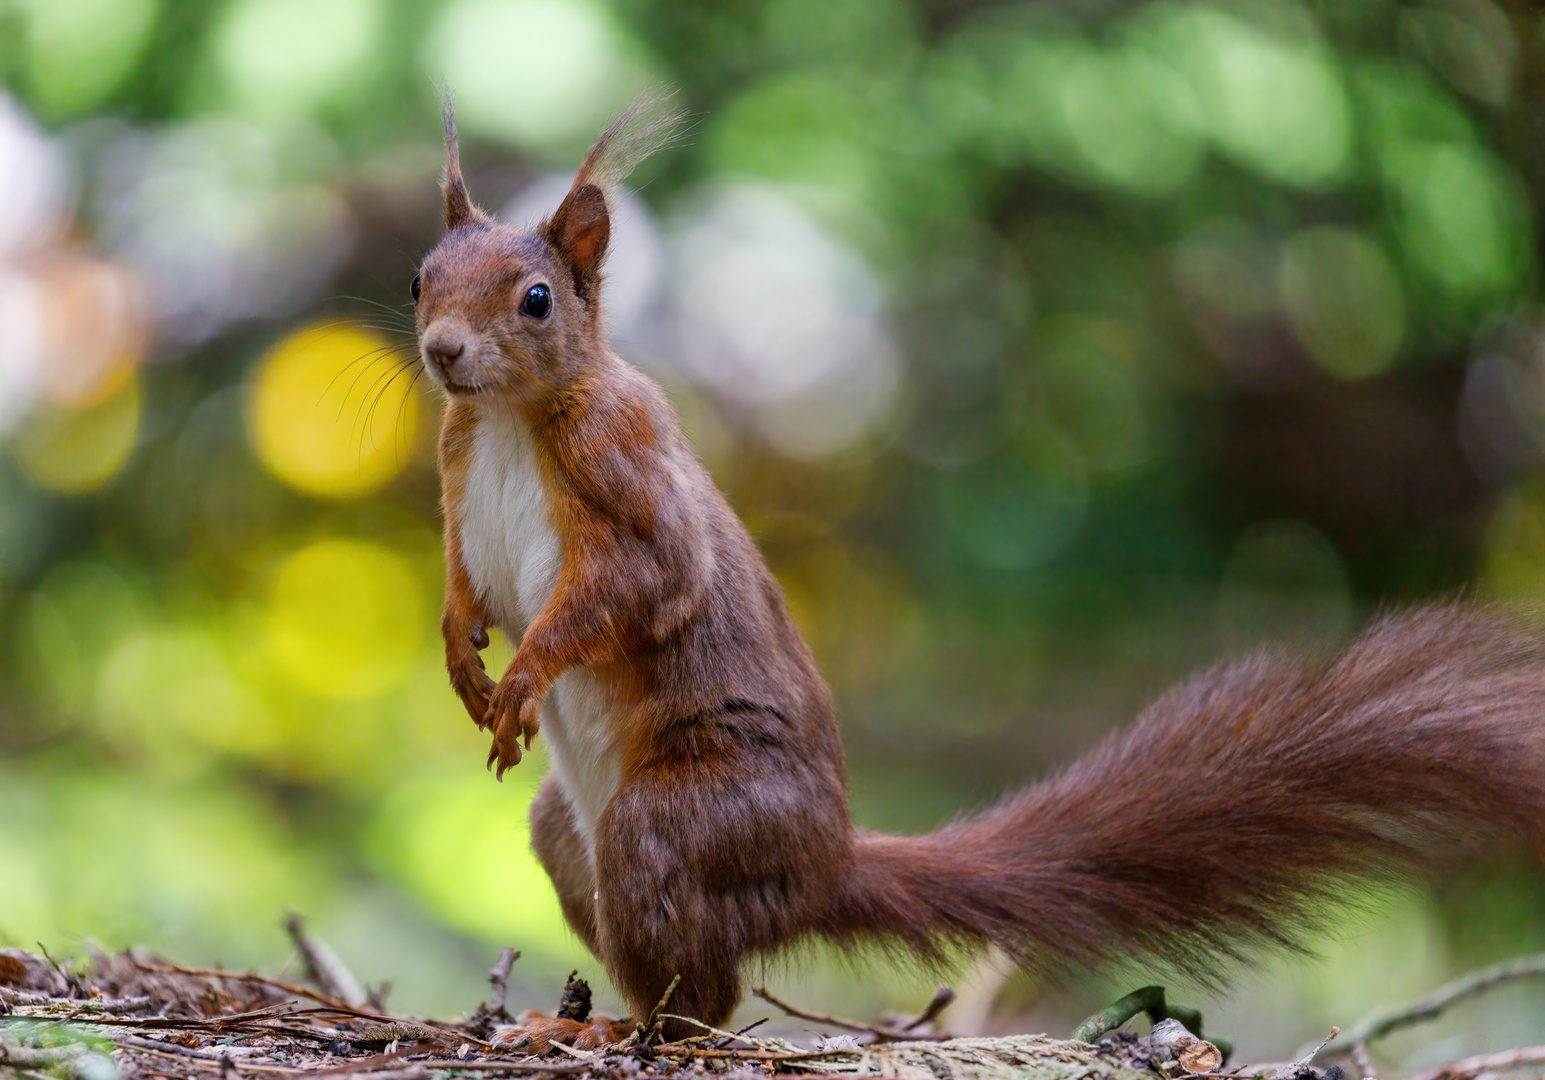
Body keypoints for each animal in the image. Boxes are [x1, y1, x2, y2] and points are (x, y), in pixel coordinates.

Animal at [414, 99, 1545, 1050]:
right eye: (423, 277)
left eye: (536, 300)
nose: (440, 350)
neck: (511, 419)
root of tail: (824, 865)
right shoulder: (459, 476)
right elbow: (471, 589)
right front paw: (464, 660)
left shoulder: (628, 468)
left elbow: (643, 585)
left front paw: (524, 676)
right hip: (573, 832)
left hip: (684, 821)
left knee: (704, 992)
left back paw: (616, 1030)